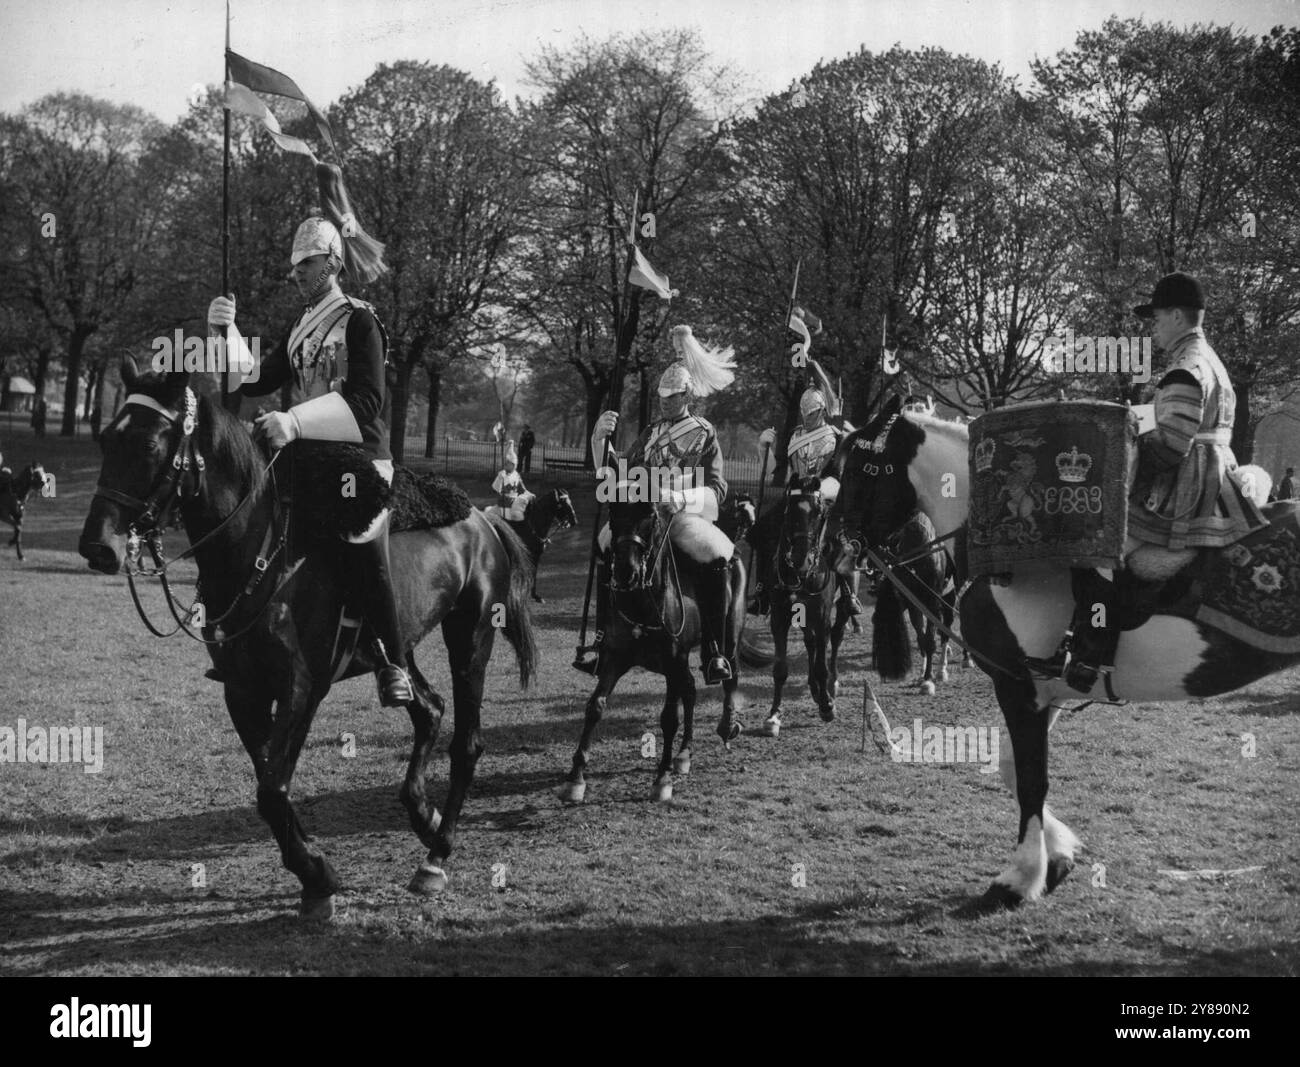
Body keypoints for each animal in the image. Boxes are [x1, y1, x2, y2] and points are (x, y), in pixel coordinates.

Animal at [78, 363, 535, 914]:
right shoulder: (244, 692)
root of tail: (483, 517)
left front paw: (316, 874)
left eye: (148, 444)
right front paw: (314, 874)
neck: (259, 550)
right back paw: (422, 815)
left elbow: (272, 789)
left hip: (470, 639)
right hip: (401, 647)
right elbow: (269, 785)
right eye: (106, 438)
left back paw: (436, 855)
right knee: (428, 708)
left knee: (466, 743)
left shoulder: (302, 689)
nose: (97, 546)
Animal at [561, 496, 754, 805]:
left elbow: (669, 718)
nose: (625, 572)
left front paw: (662, 779)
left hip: (729, 635)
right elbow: (595, 707)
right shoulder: (615, 659)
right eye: (613, 512)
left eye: (650, 515)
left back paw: (727, 725)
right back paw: (684, 753)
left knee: (731, 674)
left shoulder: (673, 660)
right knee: (690, 690)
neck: (642, 602)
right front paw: (575, 778)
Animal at [832, 395, 1300, 909]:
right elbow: (1013, 770)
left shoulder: (1018, 688)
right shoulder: (1046, 691)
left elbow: (1031, 779)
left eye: (856, 467)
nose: (837, 544)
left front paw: (1018, 877)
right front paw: (1058, 856)